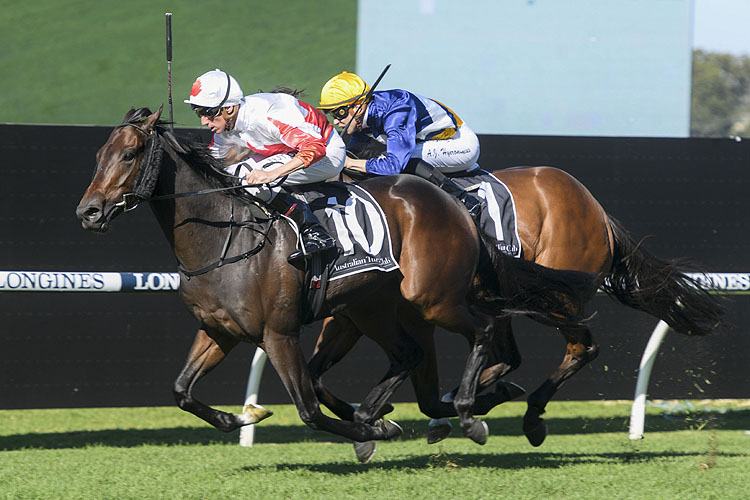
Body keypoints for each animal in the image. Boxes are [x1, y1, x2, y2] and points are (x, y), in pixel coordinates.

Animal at [73, 106, 596, 450]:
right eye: (99, 154)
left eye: (130, 154)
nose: (88, 211)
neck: (224, 237)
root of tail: (452, 201)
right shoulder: (220, 330)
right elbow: (181, 391)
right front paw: (232, 418)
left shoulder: (279, 333)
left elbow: (308, 408)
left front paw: (369, 429)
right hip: (373, 308)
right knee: (410, 355)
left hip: (432, 299)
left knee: (485, 330)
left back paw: (471, 411)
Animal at [308, 159, 724, 450]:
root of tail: (596, 208)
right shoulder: (351, 315)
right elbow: (314, 376)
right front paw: (371, 421)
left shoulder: (417, 312)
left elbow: (420, 387)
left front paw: (381, 420)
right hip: (510, 302)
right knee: (510, 356)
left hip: (554, 296)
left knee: (581, 347)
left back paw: (530, 416)